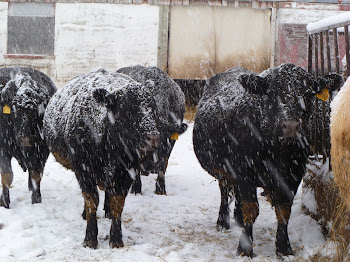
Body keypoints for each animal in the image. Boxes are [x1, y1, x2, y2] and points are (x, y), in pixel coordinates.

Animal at [0, 67, 56, 209]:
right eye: (14, 106)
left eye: (36, 108)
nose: (25, 139)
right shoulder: (3, 148)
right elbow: (7, 175)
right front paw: (4, 202)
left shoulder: (42, 150)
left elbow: (36, 175)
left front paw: (36, 199)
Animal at [42, 68, 161, 249]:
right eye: (128, 110)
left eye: (152, 110)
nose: (153, 138)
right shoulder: (82, 168)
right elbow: (91, 200)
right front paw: (90, 237)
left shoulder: (128, 170)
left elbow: (118, 202)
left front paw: (116, 238)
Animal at [191, 64, 342, 258]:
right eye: (272, 93)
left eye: (307, 94)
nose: (291, 126)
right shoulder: (244, 170)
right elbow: (251, 209)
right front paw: (245, 248)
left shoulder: (293, 174)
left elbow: (284, 210)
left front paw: (284, 248)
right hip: (223, 170)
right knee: (225, 191)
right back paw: (223, 222)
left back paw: (237, 218)